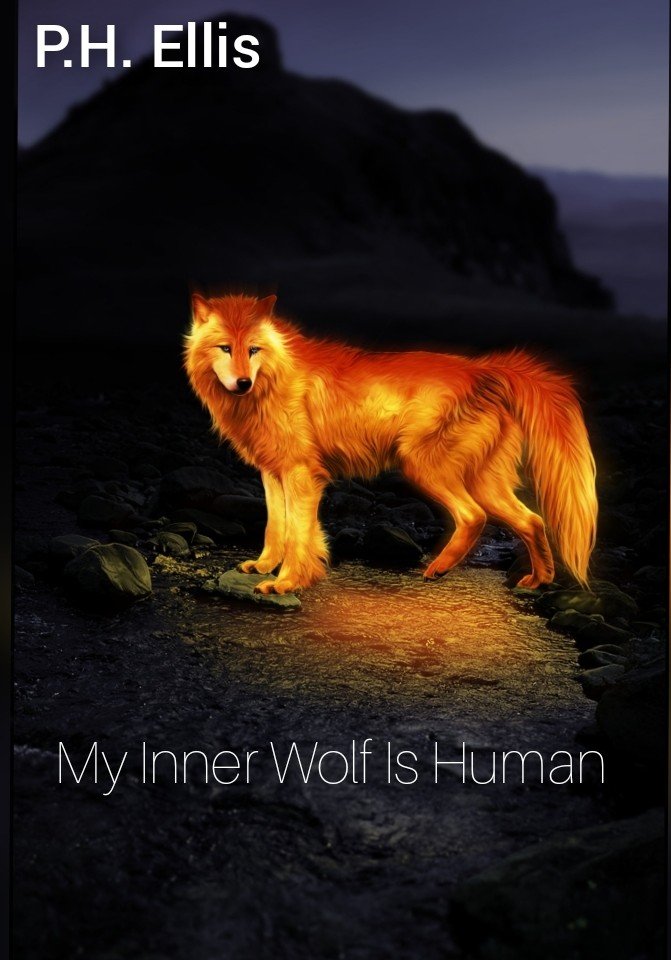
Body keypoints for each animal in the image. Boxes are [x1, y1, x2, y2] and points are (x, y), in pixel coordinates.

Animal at [185, 293, 597, 595]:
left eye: (253, 350)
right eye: (225, 348)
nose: (242, 383)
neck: (273, 380)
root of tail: (484, 370)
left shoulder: (303, 475)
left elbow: (299, 535)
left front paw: (286, 582)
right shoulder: (273, 474)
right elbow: (276, 528)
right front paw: (264, 567)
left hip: (424, 469)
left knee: (474, 516)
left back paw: (437, 568)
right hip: (483, 483)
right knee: (533, 521)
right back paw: (537, 580)